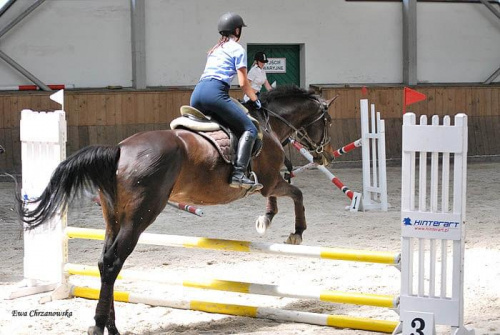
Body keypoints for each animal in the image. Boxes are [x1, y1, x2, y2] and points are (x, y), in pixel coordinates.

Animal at [17, 84, 336, 335]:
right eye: (328, 121)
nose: (326, 156)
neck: (267, 125)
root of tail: (119, 151)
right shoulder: (269, 182)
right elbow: (296, 193)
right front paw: (296, 232)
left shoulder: (267, 184)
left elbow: (281, 194)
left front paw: (266, 219)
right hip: (140, 216)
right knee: (113, 262)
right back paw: (100, 326)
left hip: (113, 216)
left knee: (103, 261)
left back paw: (110, 324)